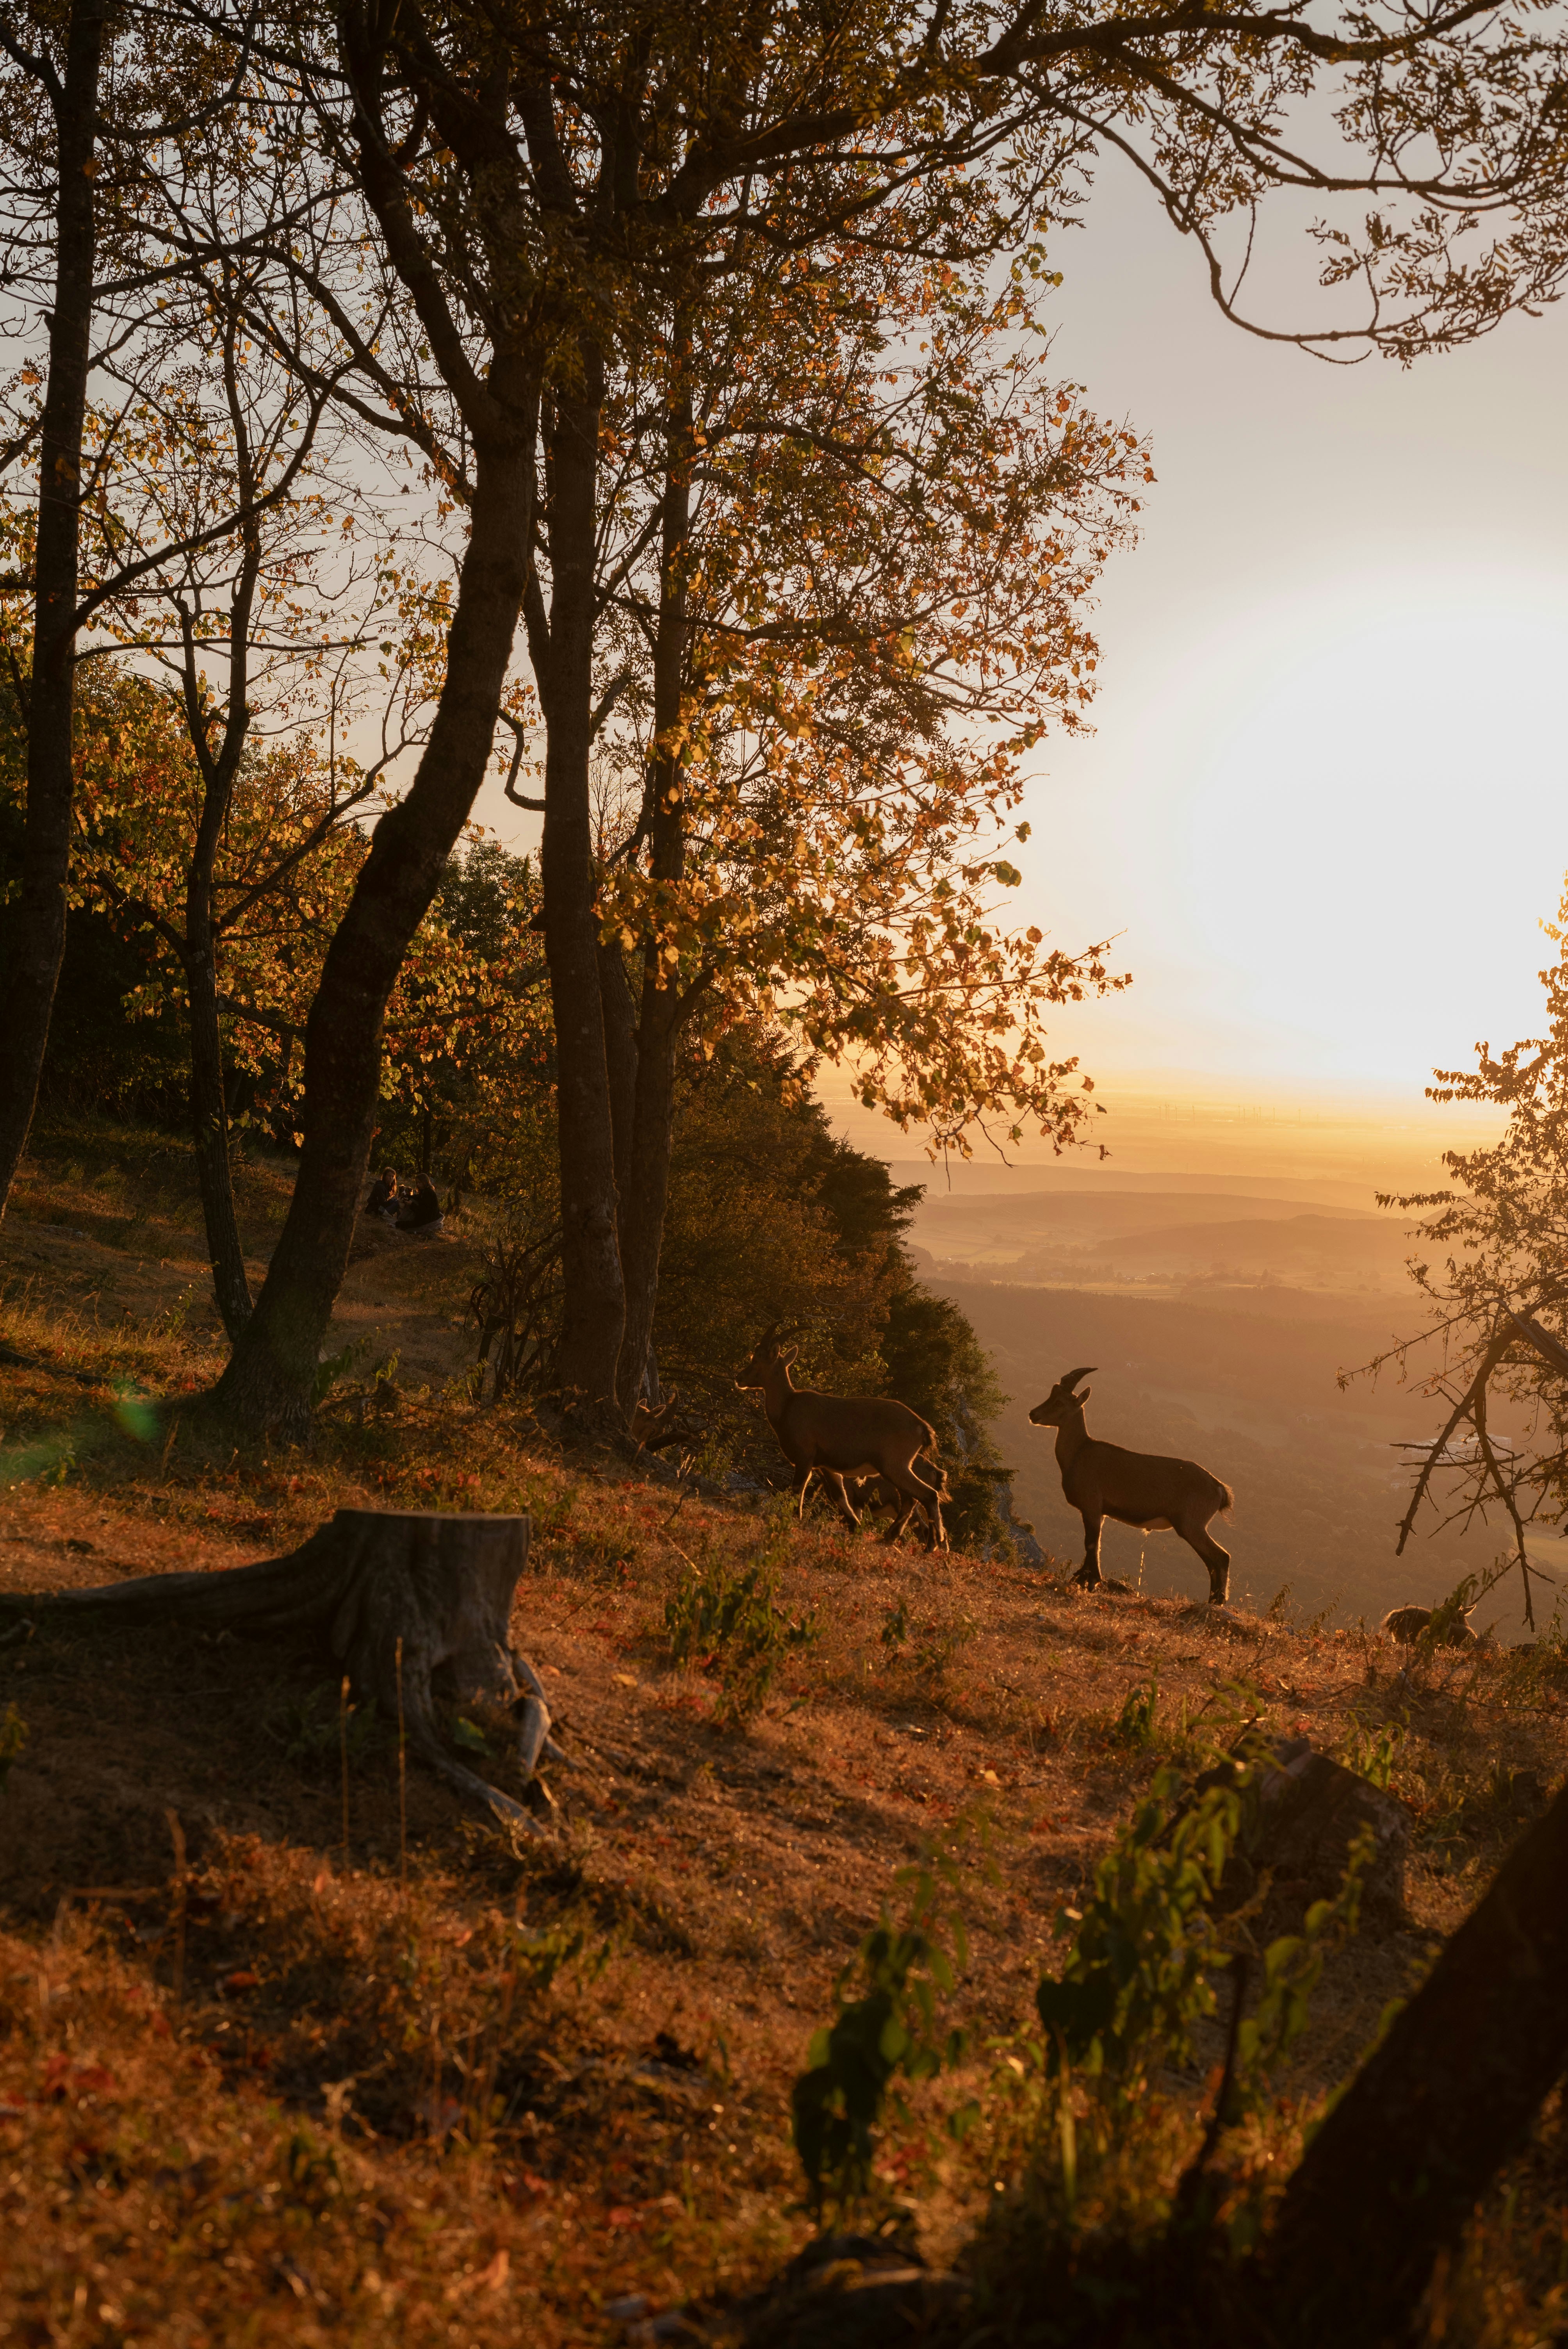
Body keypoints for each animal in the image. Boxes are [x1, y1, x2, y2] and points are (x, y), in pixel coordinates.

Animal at [736, 1326, 948, 1549]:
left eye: (757, 1359)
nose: (739, 1378)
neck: (787, 1406)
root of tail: (922, 1427)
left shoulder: (805, 1458)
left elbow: (798, 1490)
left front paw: (795, 1520)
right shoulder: (826, 1466)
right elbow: (839, 1497)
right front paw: (856, 1528)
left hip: (894, 1465)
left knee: (927, 1496)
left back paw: (932, 1544)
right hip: (898, 1468)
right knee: (910, 1499)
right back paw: (891, 1537)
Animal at [1028, 1367, 1234, 1604]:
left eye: (1060, 1402)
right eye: (1051, 1395)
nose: (1033, 1414)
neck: (1079, 1453)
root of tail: (1219, 1488)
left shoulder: (1092, 1506)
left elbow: (1091, 1542)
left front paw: (1089, 1581)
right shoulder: (1100, 1512)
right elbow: (1094, 1542)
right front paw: (1085, 1578)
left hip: (1191, 1524)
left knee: (1221, 1557)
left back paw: (1217, 1602)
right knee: (1212, 1561)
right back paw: (1214, 1600)